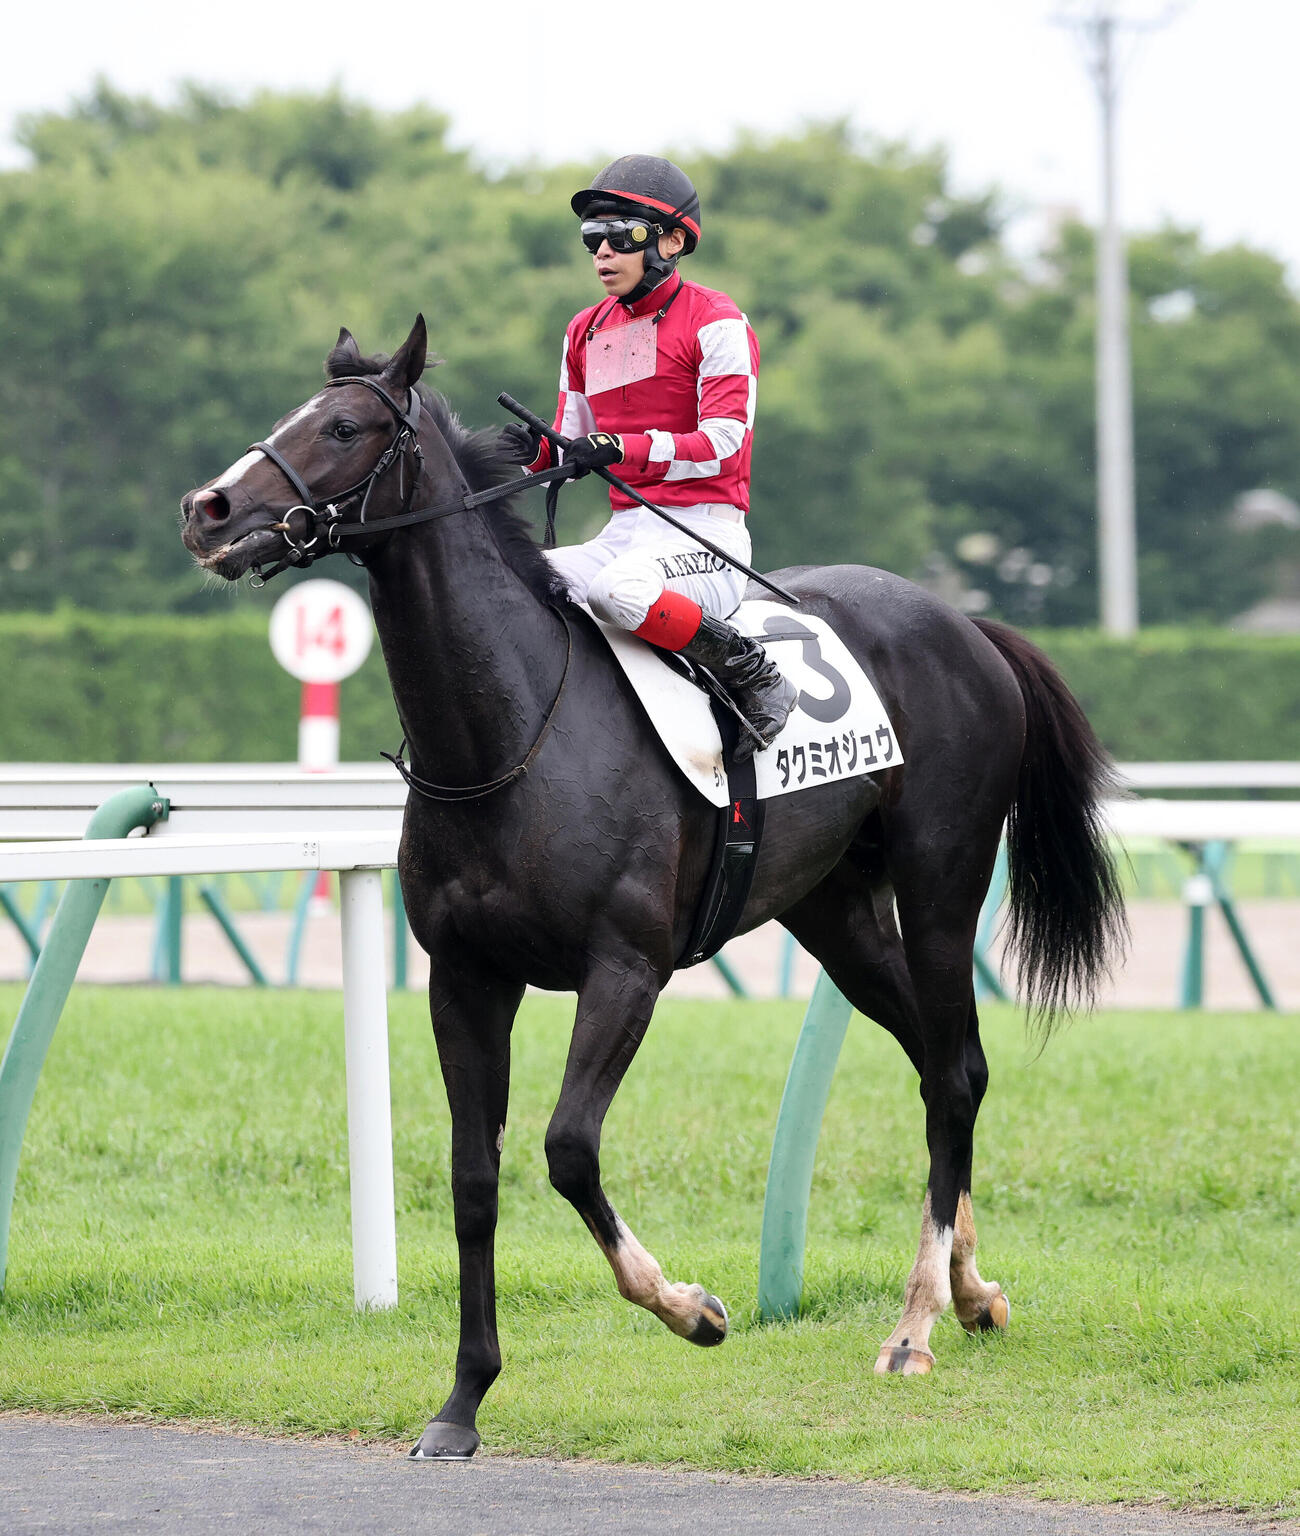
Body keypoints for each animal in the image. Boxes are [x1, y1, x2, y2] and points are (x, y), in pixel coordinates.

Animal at [180, 316, 1126, 1460]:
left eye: (345, 428)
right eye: (295, 415)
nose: (208, 510)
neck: (511, 732)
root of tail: (965, 623)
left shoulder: (625, 969)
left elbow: (567, 1149)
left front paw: (692, 1308)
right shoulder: (465, 977)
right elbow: (473, 1173)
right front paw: (462, 1402)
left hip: (942, 884)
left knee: (953, 1073)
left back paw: (914, 1324)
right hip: (835, 912)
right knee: (939, 1063)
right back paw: (971, 1288)